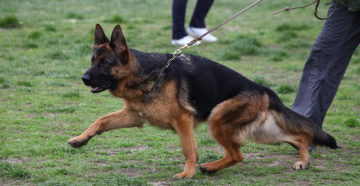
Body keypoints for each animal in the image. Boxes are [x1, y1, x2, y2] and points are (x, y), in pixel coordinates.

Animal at [67, 24, 338, 179]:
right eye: (92, 60)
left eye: (105, 63)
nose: (84, 78)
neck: (147, 73)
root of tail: (262, 88)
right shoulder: (134, 116)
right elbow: (100, 120)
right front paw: (80, 139)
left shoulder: (182, 120)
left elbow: (189, 149)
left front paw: (187, 173)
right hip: (260, 131)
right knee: (298, 136)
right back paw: (303, 161)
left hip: (218, 119)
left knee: (238, 154)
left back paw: (209, 167)